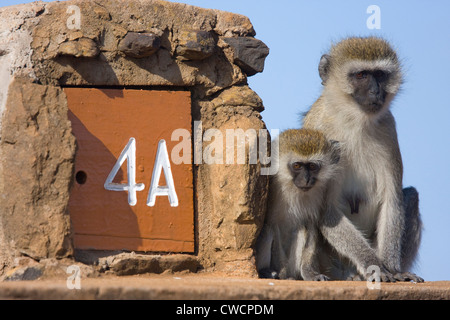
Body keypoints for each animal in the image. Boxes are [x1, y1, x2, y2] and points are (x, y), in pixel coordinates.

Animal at [255, 129, 340, 282]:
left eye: (312, 166)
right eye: (296, 166)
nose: (306, 179)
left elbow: (310, 225)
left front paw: (310, 273)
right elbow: (273, 226)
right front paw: (282, 275)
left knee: (302, 228)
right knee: (267, 230)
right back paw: (267, 272)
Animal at [302, 35, 422, 282]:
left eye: (380, 75)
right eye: (361, 75)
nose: (376, 92)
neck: (354, 120)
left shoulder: (388, 128)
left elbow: (392, 201)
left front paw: (394, 270)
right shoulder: (319, 128)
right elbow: (327, 210)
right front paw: (373, 265)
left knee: (411, 196)